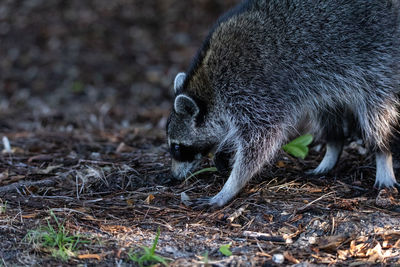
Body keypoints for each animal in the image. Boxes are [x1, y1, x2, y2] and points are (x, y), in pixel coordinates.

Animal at [166, 0, 400, 208]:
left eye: (177, 147)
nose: (174, 177)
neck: (208, 89)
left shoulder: (250, 92)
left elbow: (261, 141)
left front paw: (230, 187)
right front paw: (223, 150)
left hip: (379, 62)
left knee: (376, 114)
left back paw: (382, 155)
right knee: (327, 110)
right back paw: (333, 147)